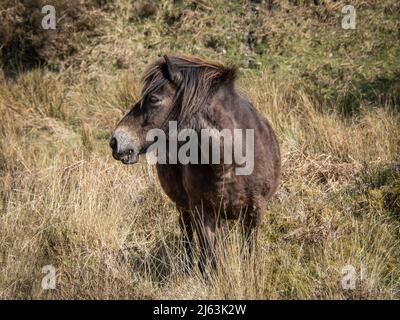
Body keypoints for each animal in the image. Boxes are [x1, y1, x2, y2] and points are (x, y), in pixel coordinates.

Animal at [109, 55, 282, 278]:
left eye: (153, 99)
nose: (115, 141)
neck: (230, 161)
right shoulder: (202, 212)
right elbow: (213, 257)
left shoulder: (254, 212)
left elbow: (248, 255)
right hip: (186, 209)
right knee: (188, 236)